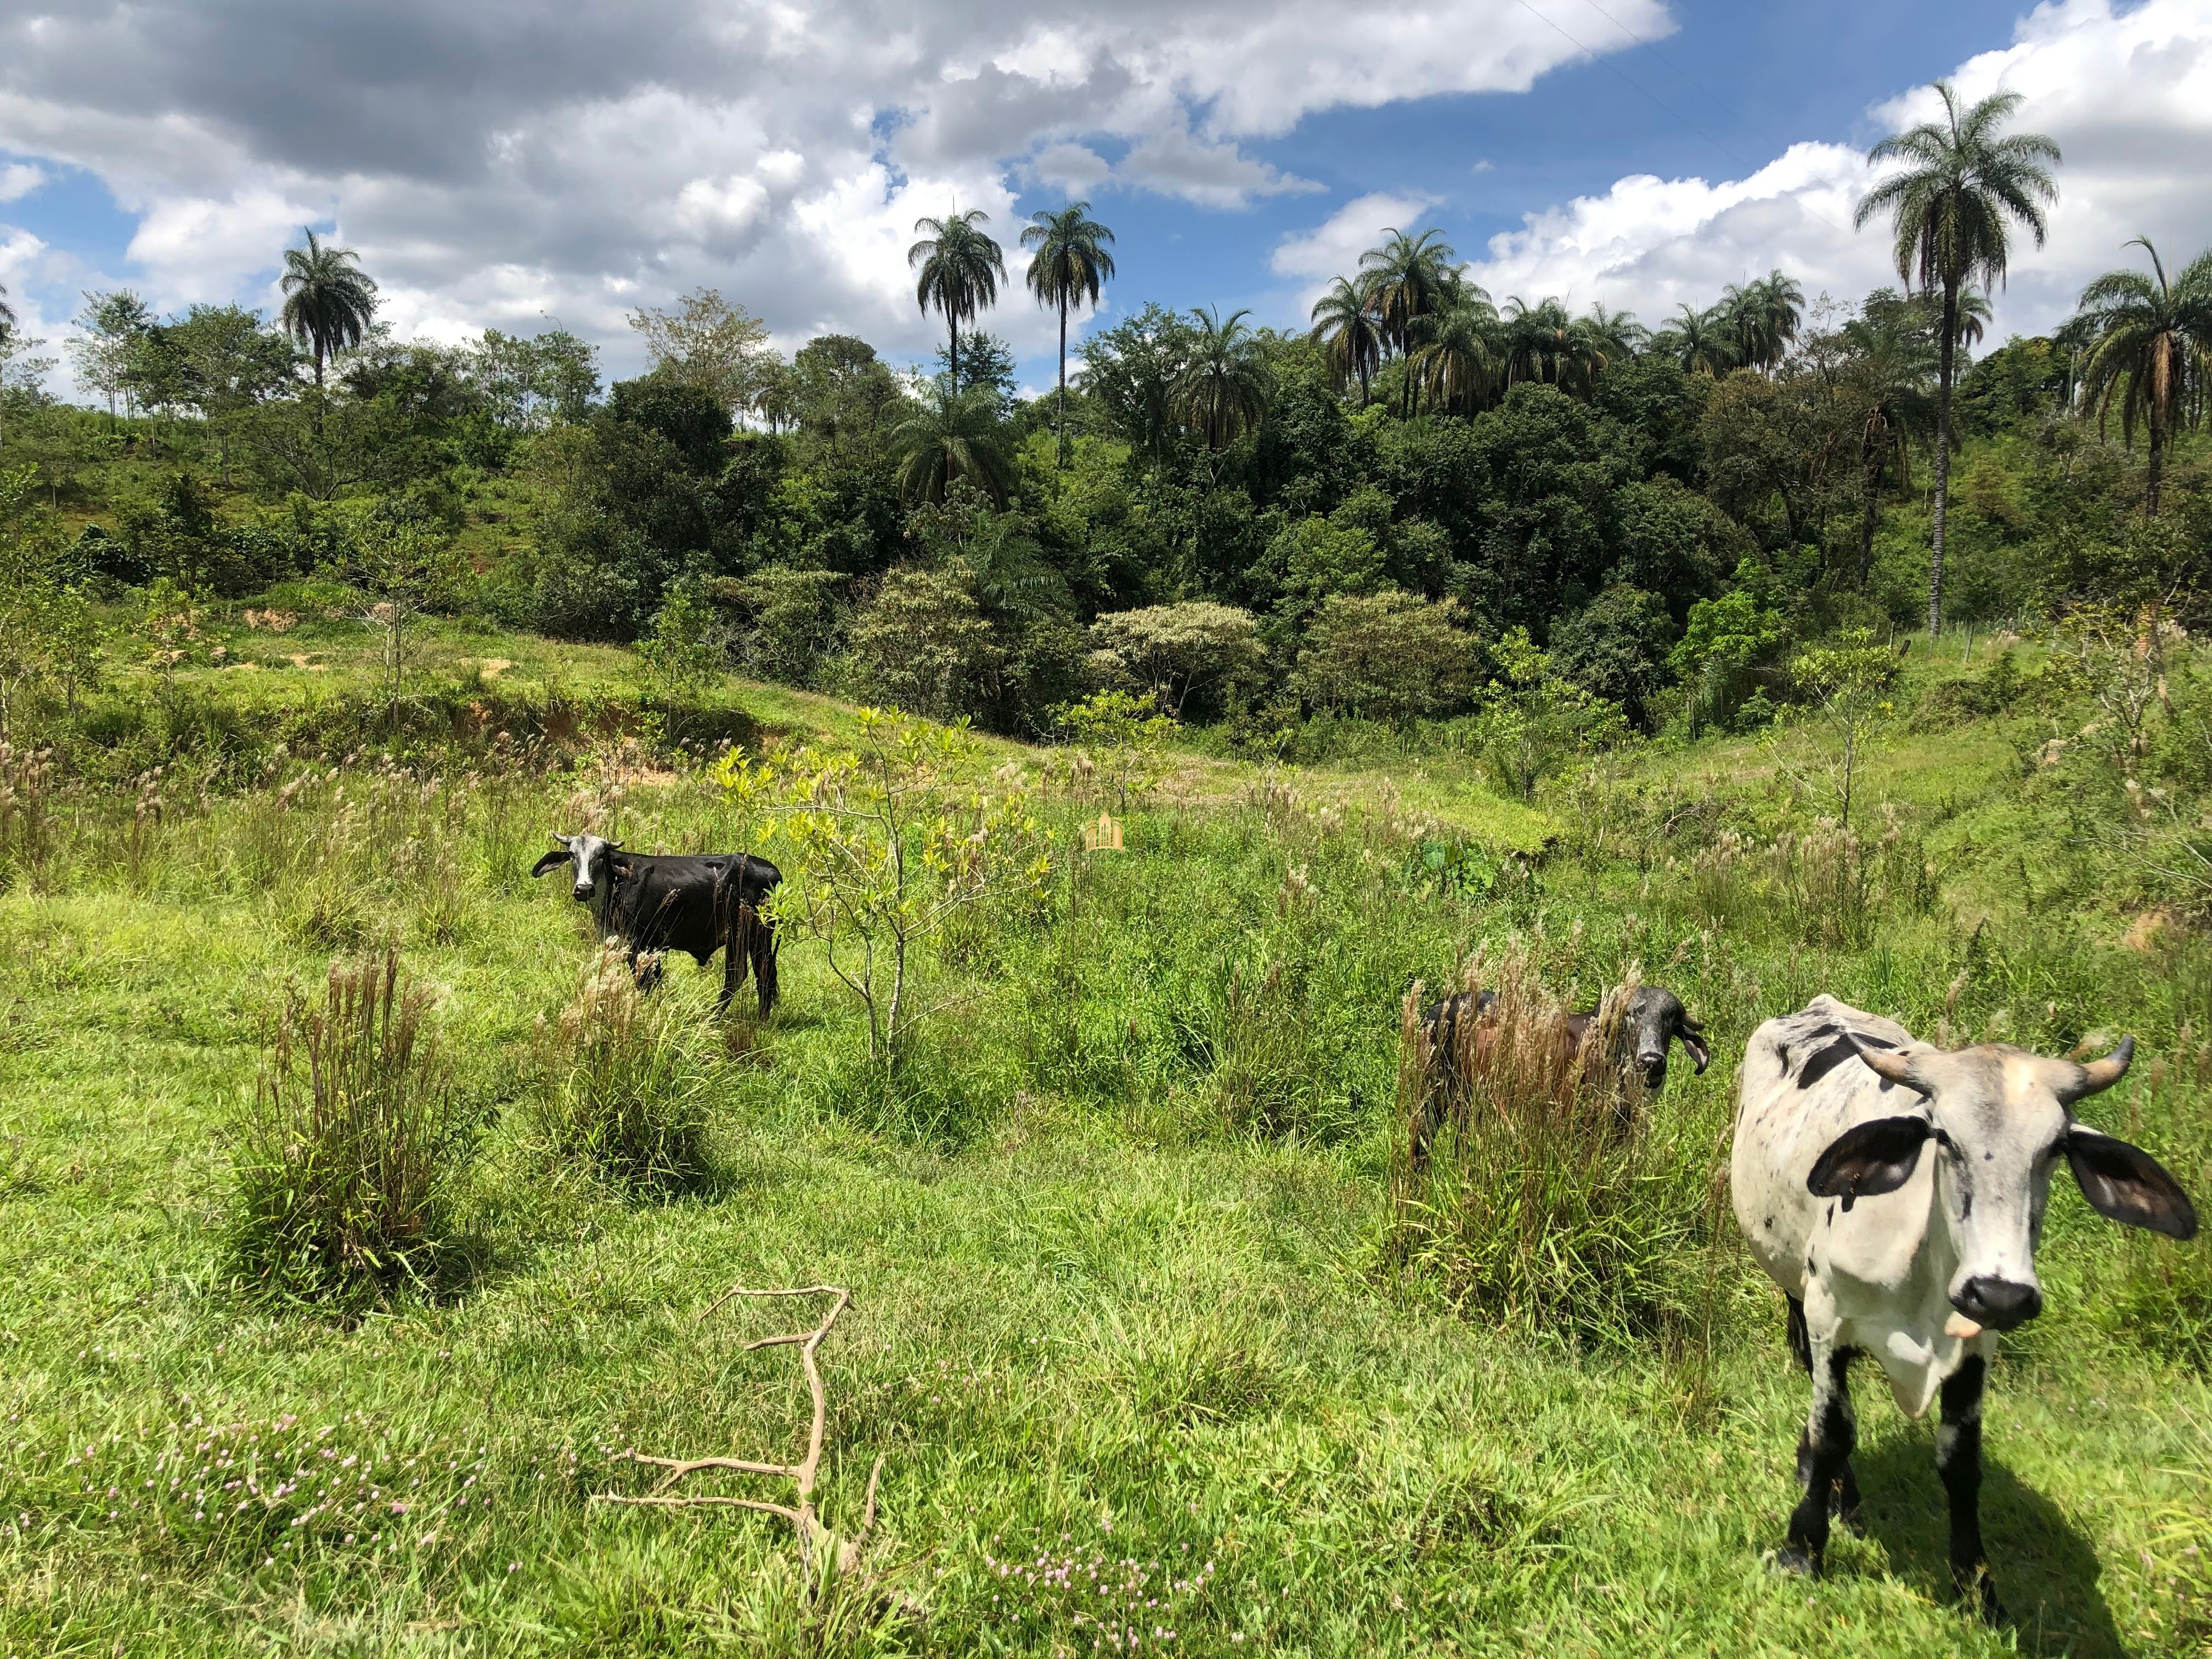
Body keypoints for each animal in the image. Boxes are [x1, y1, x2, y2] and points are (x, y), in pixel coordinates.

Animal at [531, 827, 783, 1013]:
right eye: (572, 855)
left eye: (601, 856)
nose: (584, 888)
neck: (616, 886)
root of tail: (773, 871)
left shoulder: (644, 945)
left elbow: (645, 984)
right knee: (759, 975)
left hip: (752, 933)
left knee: (749, 975)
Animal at [1725, 1000, 2194, 1628]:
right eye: (1943, 1137)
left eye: (2056, 1147)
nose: (1999, 1292)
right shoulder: (1829, 1316)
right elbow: (1833, 1434)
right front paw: (1803, 1548)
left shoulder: (1975, 1346)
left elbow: (1961, 1461)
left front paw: (1977, 1587)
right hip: (1795, 1287)